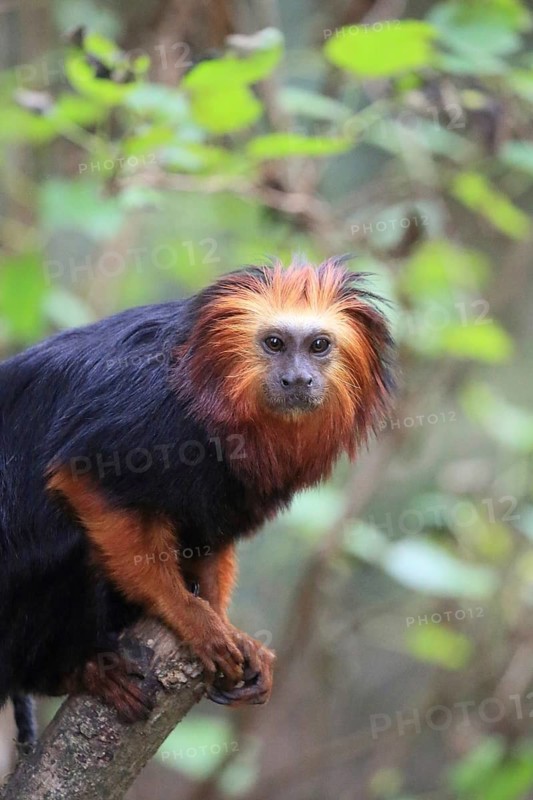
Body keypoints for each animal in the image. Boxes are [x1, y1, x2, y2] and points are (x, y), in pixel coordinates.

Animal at [0, 257, 394, 742]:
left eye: (319, 345)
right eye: (275, 343)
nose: (298, 379)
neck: (213, 390)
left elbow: (207, 537)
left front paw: (228, 626)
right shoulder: (145, 409)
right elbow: (83, 480)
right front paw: (187, 613)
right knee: (69, 541)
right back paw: (77, 671)